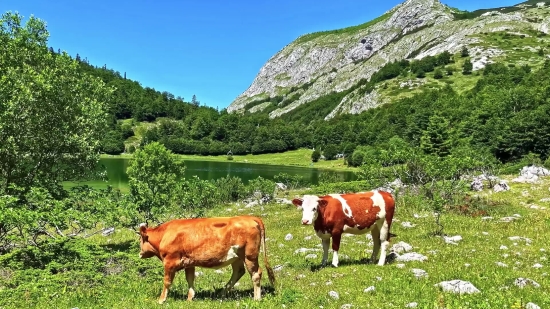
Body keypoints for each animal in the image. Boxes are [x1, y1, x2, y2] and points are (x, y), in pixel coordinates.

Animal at [138, 214, 276, 304]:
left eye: (140, 239)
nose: (140, 253)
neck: (164, 234)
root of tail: (250, 217)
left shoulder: (170, 261)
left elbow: (167, 281)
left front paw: (161, 300)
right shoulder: (189, 262)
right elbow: (190, 279)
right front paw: (190, 298)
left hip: (249, 256)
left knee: (256, 274)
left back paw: (256, 298)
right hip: (237, 257)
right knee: (238, 272)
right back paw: (221, 293)